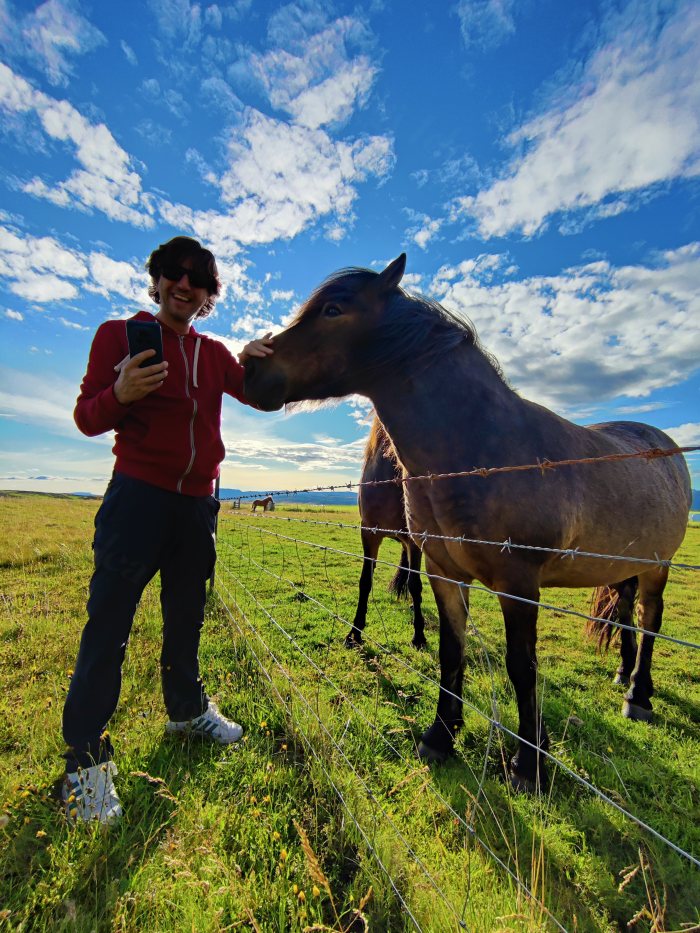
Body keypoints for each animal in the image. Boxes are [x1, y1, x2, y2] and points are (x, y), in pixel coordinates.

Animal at [350, 416, 426, 649]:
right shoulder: (369, 534)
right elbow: (365, 580)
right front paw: (355, 632)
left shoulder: (414, 542)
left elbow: (415, 584)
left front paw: (419, 636)